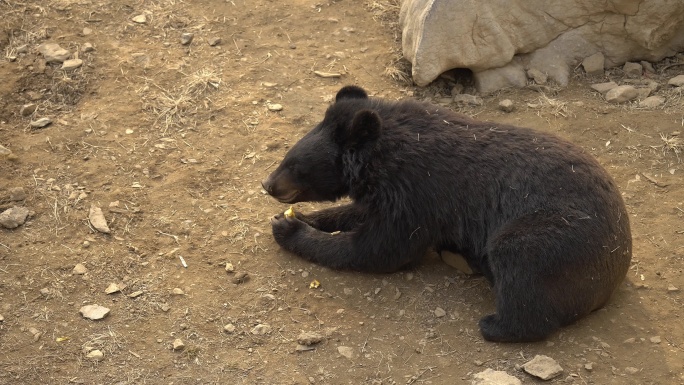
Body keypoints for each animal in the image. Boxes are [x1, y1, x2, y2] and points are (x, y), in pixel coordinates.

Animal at [262, 85, 632, 340]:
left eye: (294, 166)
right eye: (286, 158)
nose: (267, 184)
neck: (381, 157)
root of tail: (619, 260)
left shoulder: (418, 193)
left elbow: (379, 248)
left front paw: (289, 230)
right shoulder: (391, 195)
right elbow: (360, 214)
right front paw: (299, 218)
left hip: (554, 240)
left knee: (520, 267)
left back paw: (494, 324)